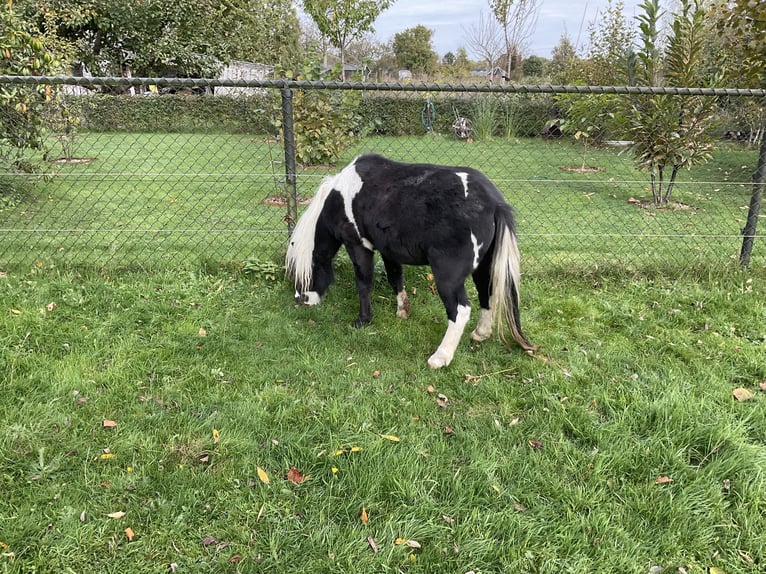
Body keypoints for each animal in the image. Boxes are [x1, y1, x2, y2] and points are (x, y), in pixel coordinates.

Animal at [286, 153, 537, 368]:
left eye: (305, 274)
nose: (300, 300)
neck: (339, 198)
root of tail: (495, 203)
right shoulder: (388, 249)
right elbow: (395, 277)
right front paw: (402, 311)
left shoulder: (358, 245)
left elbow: (363, 282)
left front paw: (363, 320)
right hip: (484, 266)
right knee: (487, 293)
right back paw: (480, 334)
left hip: (448, 276)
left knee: (460, 310)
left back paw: (440, 357)